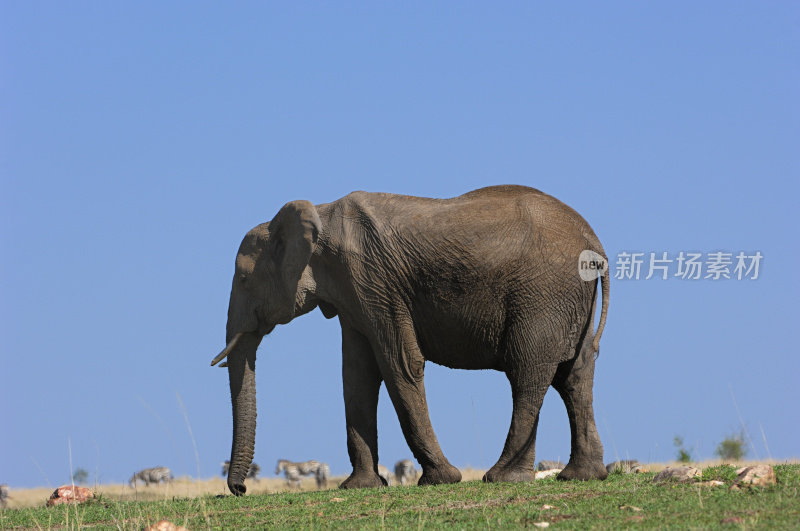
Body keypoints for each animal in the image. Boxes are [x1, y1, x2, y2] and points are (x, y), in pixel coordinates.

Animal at [209, 185, 608, 496]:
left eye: (243, 280)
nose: (240, 488)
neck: (319, 215)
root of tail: (594, 242)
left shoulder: (373, 281)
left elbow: (399, 364)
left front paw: (441, 480)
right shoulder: (353, 295)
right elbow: (356, 376)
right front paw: (361, 487)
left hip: (543, 295)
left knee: (528, 374)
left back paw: (500, 477)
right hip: (567, 297)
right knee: (575, 376)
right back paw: (577, 476)